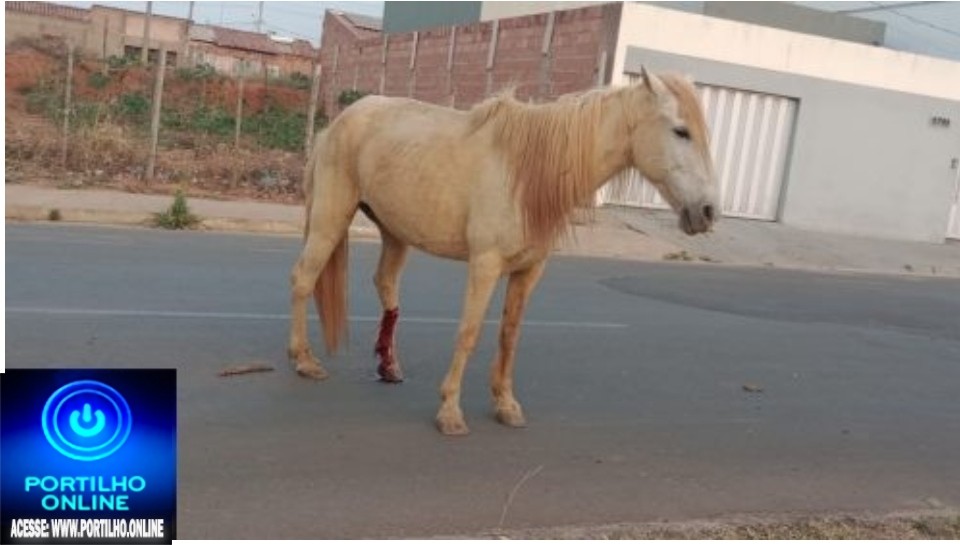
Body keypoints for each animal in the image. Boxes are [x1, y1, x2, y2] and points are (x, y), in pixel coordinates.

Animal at [288, 67, 716, 434]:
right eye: (681, 131)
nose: (708, 212)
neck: (529, 173)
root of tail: (339, 122)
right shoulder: (485, 265)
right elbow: (469, 332)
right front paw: (450, 411)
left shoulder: (529, 270)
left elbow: (509, 334)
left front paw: (506, 405)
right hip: (330, 218)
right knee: (304, 279)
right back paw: (304, 360)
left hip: (395, 231)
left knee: (385, 285)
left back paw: (388, 366)